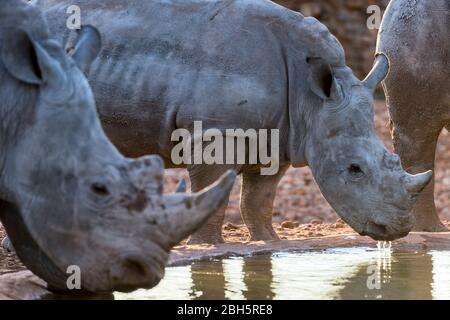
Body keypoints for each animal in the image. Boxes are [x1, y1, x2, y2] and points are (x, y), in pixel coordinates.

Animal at [40, 0, 434, 242]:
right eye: (354, 169)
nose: (398, 228)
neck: (310, 98)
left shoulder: (282, 136)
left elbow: (259, 200)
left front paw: (269, 242)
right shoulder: (214, 133)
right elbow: (213, 195)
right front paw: (208, 247)